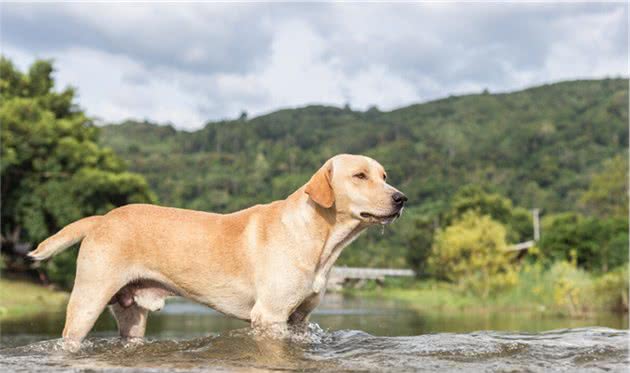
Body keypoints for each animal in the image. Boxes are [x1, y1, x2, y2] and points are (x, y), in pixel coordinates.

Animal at [28, 153, 410, 348]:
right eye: (359, 176)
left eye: (384, 175)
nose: (401, 198)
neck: (320, 236)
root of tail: (101, 218)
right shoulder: (270, 316)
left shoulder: (299, 318)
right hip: (87, 301)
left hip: (131, 314)